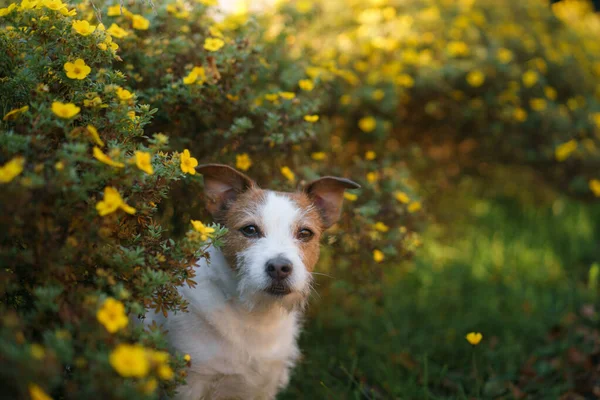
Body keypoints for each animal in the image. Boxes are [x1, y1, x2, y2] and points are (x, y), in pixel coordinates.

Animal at [145, 163, 360, 400]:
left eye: (305, 233)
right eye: (249, 229)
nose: (279, 268)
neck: (255, 316)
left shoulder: (264, 386)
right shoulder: (189, 383)